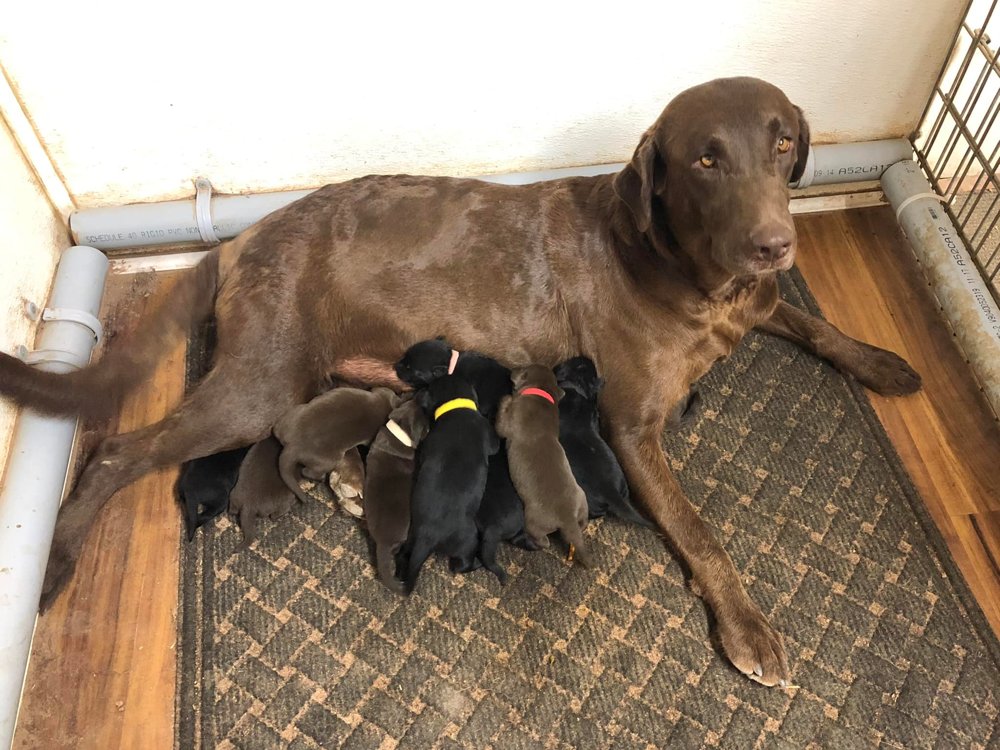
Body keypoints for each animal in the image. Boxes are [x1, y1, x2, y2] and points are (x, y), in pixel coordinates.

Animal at [398, 378, 500, 596]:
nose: (418, 391)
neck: (455, 406)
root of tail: (428, 535)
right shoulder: (489, 435)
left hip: (411, 538)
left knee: (404, 554)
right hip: (468, 540)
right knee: (461, 565)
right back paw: (477, 563)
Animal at [496, 368, 588, 568]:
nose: (512, 371)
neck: (541, 393)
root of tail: (567, 517)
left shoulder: (508, 423)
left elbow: (501, 423)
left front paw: (506, 398)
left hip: (533, 520)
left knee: (544, 541)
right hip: (581, 497)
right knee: (583, 521)